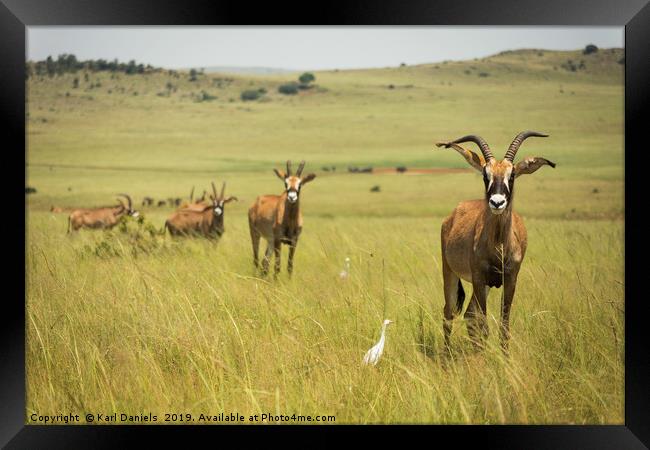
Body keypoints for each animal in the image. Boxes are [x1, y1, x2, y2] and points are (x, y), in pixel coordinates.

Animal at [432, 132, 556, 354]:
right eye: (485, 174)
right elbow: (484, 326)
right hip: (451, 274)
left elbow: (503, 328)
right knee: (449, 313)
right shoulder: (480, 279)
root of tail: (454, 214)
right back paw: (446, 355)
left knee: (469, 314)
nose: (497, 202)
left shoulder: (510, 280)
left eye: (512, 174)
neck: (499, 245)